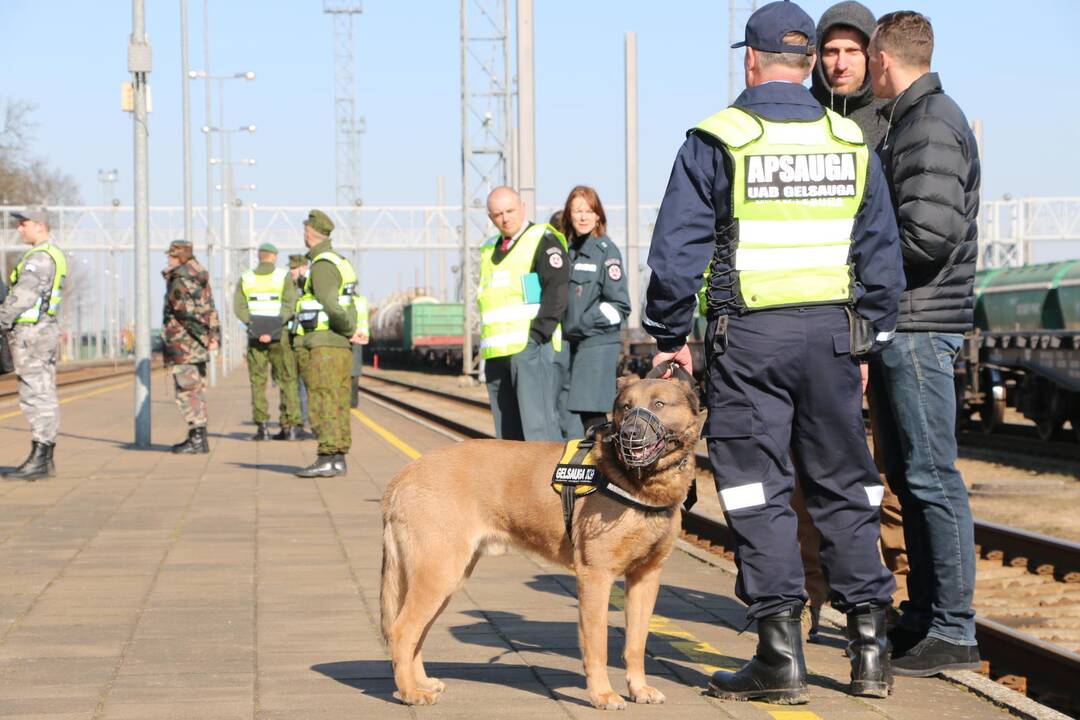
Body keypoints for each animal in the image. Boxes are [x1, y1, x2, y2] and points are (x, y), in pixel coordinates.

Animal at [382, 375, 708, 712]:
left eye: (659, 404)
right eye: (626, 407)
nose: (630, 434)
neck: (638, 483)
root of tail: (404, 474)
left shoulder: (645, 578)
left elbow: (636, 643)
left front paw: (639, 688)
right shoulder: (595, 576)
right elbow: (598, 644)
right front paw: (602, 694)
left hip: (444, 580)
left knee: (416, 634)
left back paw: (421, 683)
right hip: (437, 574)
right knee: (402, 631)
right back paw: (409, 692)